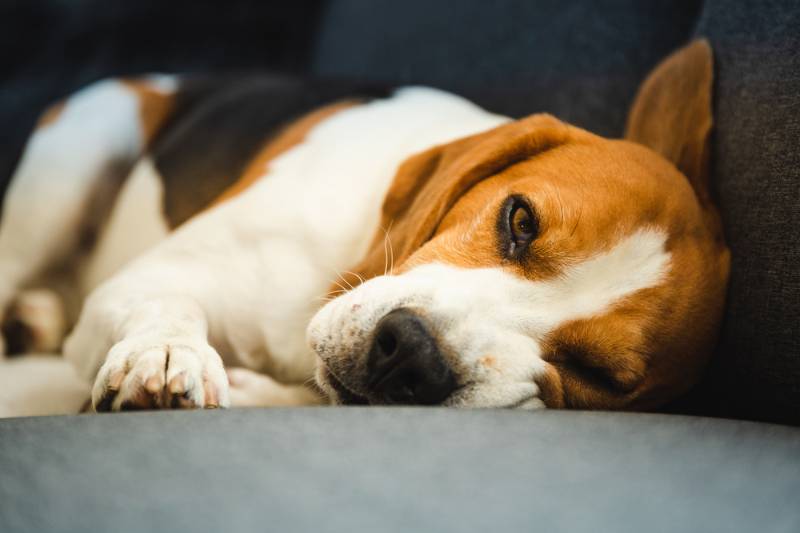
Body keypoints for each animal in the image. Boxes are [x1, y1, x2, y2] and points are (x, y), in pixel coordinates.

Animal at [0, 39, 728, 414]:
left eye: (598, 376)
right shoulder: (145, 279)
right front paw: (167, 353)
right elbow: (167, 305)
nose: (412, 355)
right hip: (84, 146)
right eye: (519, 219)